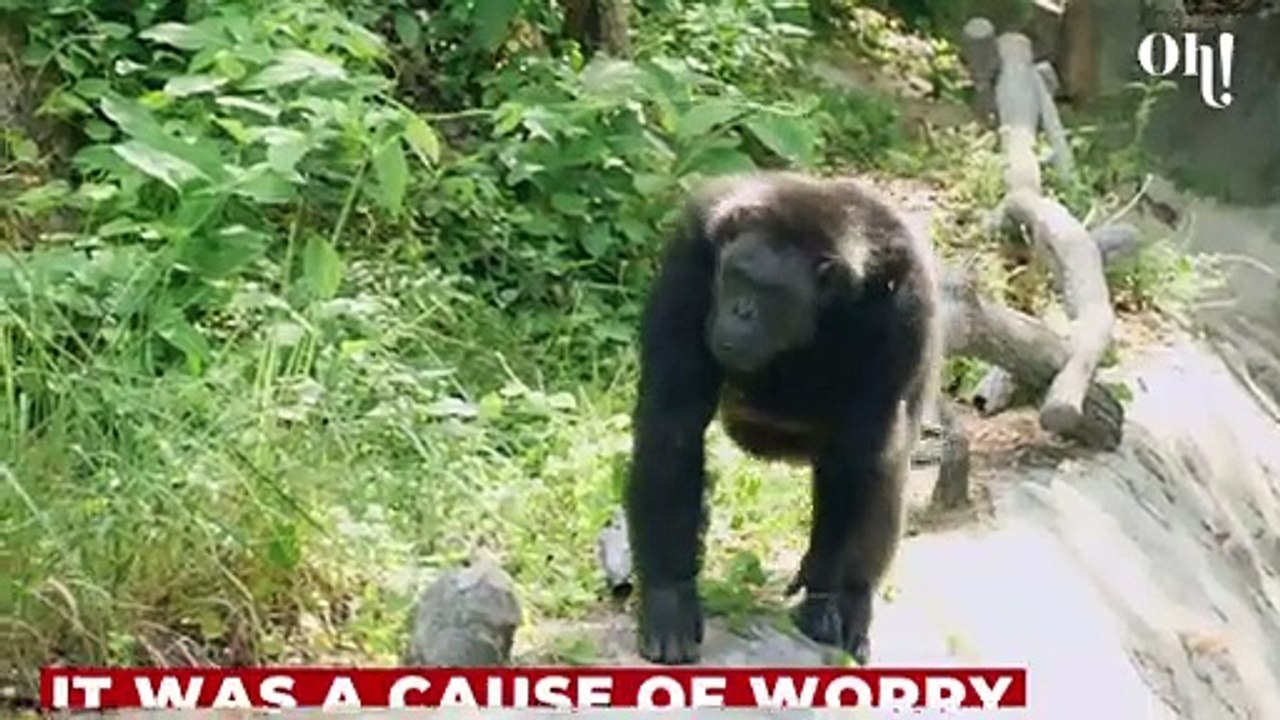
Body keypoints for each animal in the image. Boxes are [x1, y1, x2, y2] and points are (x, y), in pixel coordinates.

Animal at [624, 170, 942, 665]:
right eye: (737, 277)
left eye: (770, 290)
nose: (741, 311)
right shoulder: (691, 257)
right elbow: (672, 422)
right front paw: (669, 597)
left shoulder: (907, 303)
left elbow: (874, 455)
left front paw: (851, 601)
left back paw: (823, 586)